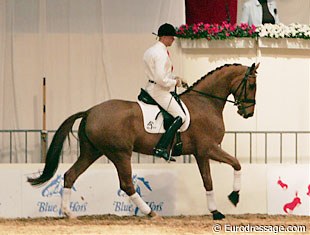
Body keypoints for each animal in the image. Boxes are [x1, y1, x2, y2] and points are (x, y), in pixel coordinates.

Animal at [27, 63, 260, 220]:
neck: (205, 102)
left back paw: (68, 213)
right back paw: (151, 213)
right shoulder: (207, 149)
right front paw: (231, 199)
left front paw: (220, 207)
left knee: (70, 175)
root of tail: (90, 111)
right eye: (252, 85)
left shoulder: (201, 152)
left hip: (91, 152)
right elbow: (230, 167)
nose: (248, 113)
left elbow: (215, 176)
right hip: (120, 153)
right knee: (126, 183)